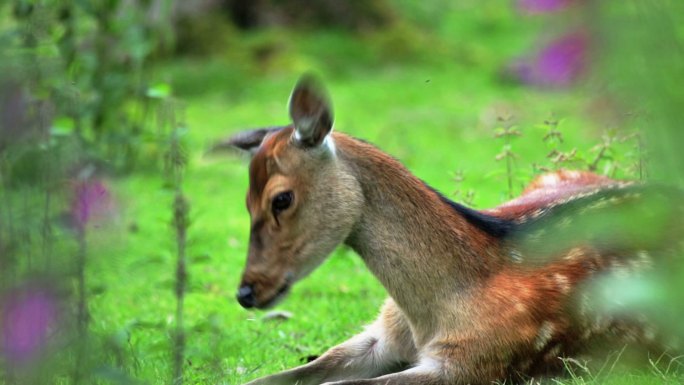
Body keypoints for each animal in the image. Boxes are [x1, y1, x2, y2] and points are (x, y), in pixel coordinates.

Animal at [227, 76, 680, 384]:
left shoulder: (473, 362)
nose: (245, 293)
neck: (427, 316)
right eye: (244, 200)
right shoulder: (380, 333)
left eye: (281, 198)